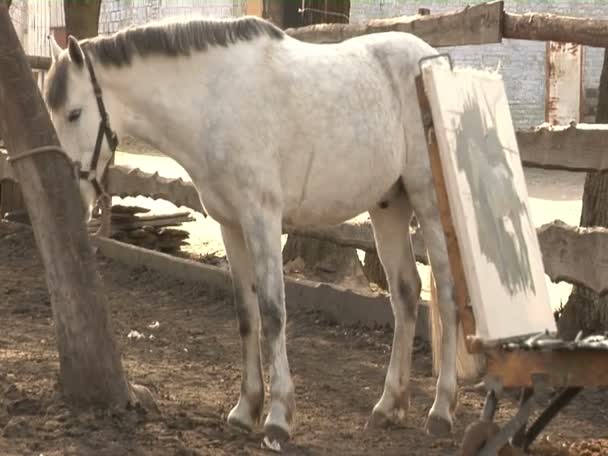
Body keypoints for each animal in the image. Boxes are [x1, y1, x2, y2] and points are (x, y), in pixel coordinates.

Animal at [45, 16, 476, 448]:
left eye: (75, 113)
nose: (73, 198)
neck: (213, 98)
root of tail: (434, 61)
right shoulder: (231, 225)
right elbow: (246, 315)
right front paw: (246, 408)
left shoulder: (262, 219)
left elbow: (272, 312)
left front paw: (278, 417)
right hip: (388, 206)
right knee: (405, 295)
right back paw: (389, 405)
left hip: (428, 203)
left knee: (448, 295)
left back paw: (441, 410)